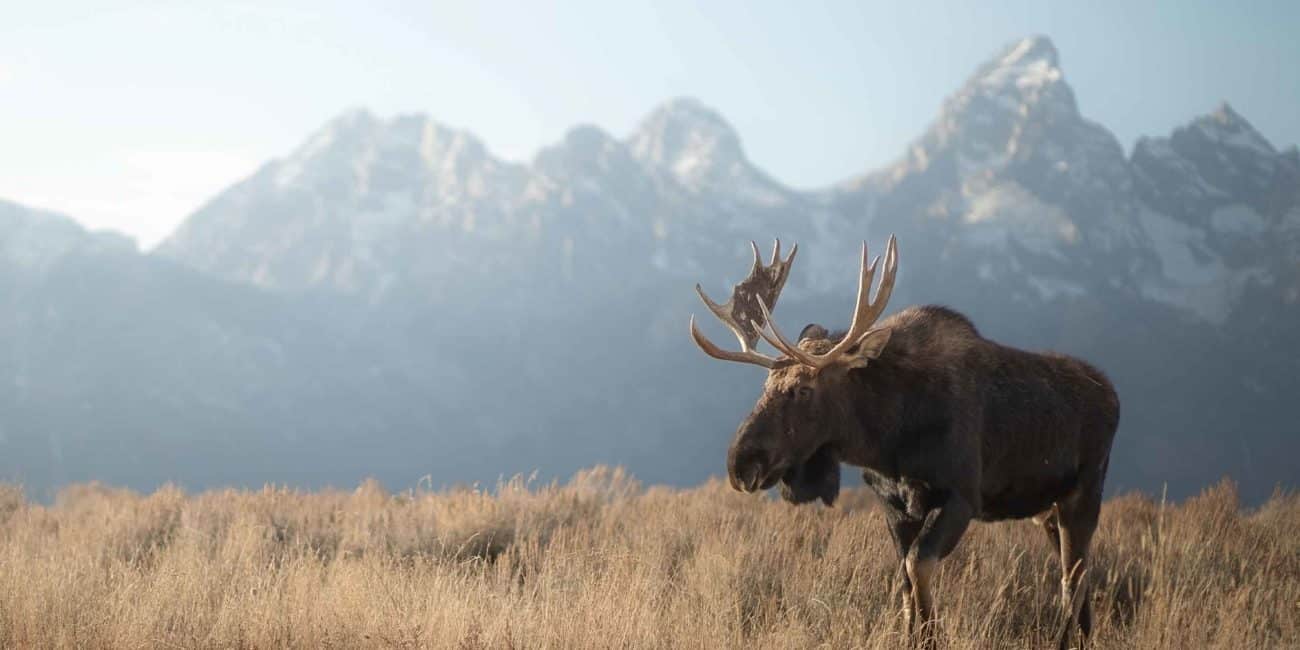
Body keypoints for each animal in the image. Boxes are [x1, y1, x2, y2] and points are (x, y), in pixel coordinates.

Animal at [691, 239, 1118, 650]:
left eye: (803, 389)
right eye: (766, 386)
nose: (740, 463)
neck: (889, 438)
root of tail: (1112, 393)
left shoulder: (961, 496)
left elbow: (918, 567)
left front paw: (931, 638)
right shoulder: (893, 504)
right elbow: (904, 581)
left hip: (1084, 492)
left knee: (1074, 576)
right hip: (1046, 509)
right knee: (1076, 570)